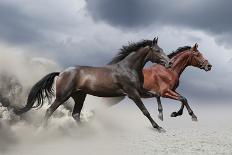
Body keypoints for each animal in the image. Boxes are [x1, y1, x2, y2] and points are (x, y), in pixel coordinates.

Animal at [13, 37, 171, 132]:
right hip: (63, 96)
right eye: (158, 50)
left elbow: (157, 94)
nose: (169, 63)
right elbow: (145, 111)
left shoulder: (141, 90)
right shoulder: (133, 93)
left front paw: (161, 115)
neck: (128, 68)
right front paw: (159, 127)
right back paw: (41, 130)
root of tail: (61, 72)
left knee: (75, 114)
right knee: (49, 110)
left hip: (79, 96)